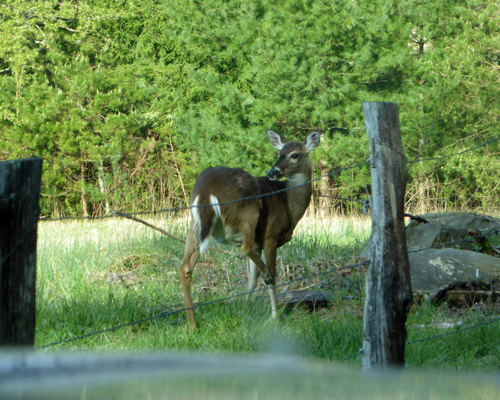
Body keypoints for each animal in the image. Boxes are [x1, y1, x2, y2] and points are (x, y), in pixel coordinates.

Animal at [180, 130, 320, 328]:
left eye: (294, 155)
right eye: (279, 153)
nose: (272, 172)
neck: (288, 203)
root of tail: (206, 190)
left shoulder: (259, 241)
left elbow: (251, 280)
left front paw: (245, 310)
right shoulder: (270, 235)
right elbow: (271, 275)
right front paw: (274, 317)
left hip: (195, 224)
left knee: (185, 267)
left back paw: (192, 324)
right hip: (248, 213)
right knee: (248, 249)